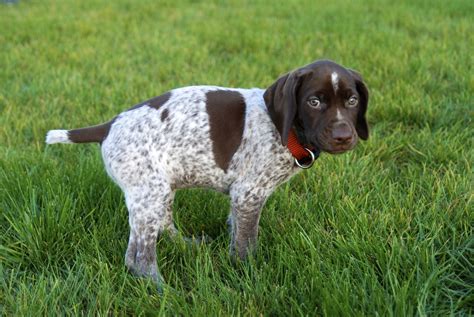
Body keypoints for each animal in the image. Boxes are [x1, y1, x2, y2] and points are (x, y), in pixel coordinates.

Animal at [46, 58, 368, 288]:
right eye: (314, 102)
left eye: (352, 101)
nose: (343, 136)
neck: (284, 130)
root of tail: (110, 125)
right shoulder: (249, 194)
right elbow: (246, 244)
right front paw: (248, 275)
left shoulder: (241, 200)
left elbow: (235, 230)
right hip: (149, 194)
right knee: (138, 258)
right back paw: (163, 290)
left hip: (160, 189)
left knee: (164, 227)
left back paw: (187, 246)